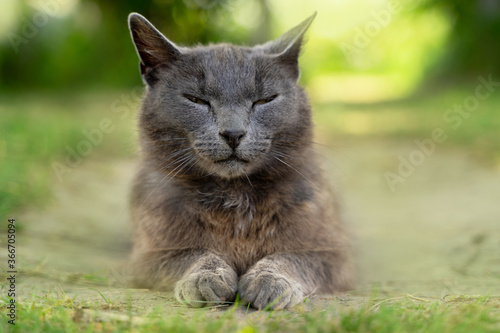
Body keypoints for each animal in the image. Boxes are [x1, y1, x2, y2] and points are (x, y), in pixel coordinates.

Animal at [127, 12, 354, 308]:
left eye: (265, 100)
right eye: (195, 99)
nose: (233, 133)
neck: (234, 197)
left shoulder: (334, 253)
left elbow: (294, 257)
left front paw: (269, 281)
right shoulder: (146, 254)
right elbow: (189, 252)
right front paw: (206, 277)